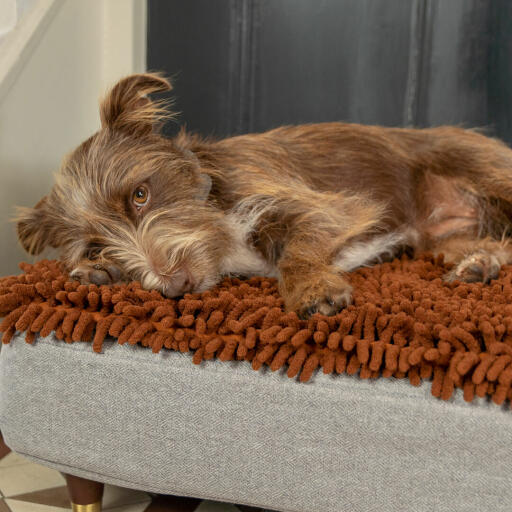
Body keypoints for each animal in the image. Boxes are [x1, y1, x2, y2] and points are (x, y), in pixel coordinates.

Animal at [12, 74, 512, 318]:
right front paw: (101, 274)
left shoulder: (325, 208)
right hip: (443, 238)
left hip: (483, 171)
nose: (175, 285)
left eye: (139, 194)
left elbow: (295, 253)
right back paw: (479, 263)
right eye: (96, 246)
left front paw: (312, 289)